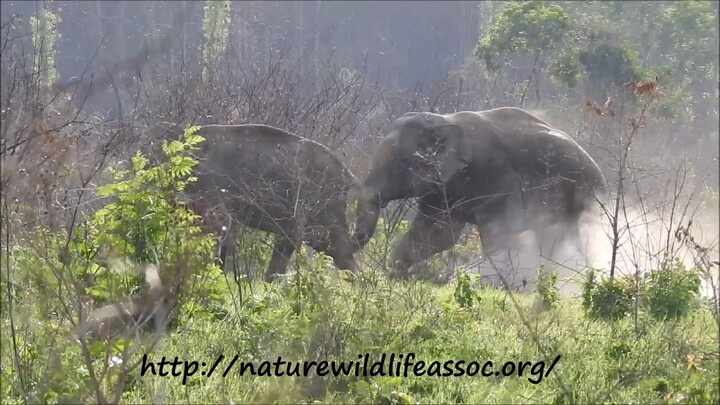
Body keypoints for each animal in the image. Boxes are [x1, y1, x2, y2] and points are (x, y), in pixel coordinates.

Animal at [352, 107, 608, 282]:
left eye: (403, 164)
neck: (446, 120)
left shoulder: (497, 179)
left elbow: (499, 232)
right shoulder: (444, 189)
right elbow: (437, 233)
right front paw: (396, 273)